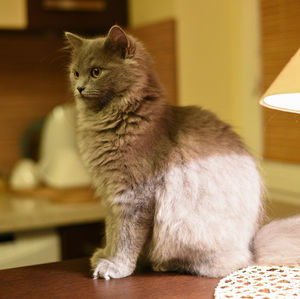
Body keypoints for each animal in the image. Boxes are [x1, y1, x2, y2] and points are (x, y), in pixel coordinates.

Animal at [65, 25, 300, 282]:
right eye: (75, 73)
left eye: (96, 72)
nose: (79, 88)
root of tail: (251, 247)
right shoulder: (109, 196)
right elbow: (111, 231)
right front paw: (104, 255)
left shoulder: (134, 196)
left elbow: (126, 238)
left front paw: (116, 267)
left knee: (228, 264)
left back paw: (165, 265)